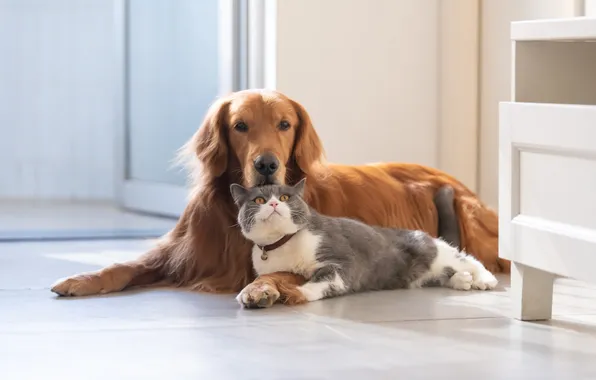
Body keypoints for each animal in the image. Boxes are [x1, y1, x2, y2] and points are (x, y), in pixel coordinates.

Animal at [230, 180, 496, 308]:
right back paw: (462, 280)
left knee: (468, 259)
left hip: (437, 253)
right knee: (445, 275)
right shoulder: (278, 270)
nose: (274, 203)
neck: (282, 244)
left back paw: (483, 279)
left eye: (285, 197)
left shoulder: (341, 259)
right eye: (259, 200)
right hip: (425, 274)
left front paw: (298, 293)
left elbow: (326, 279)